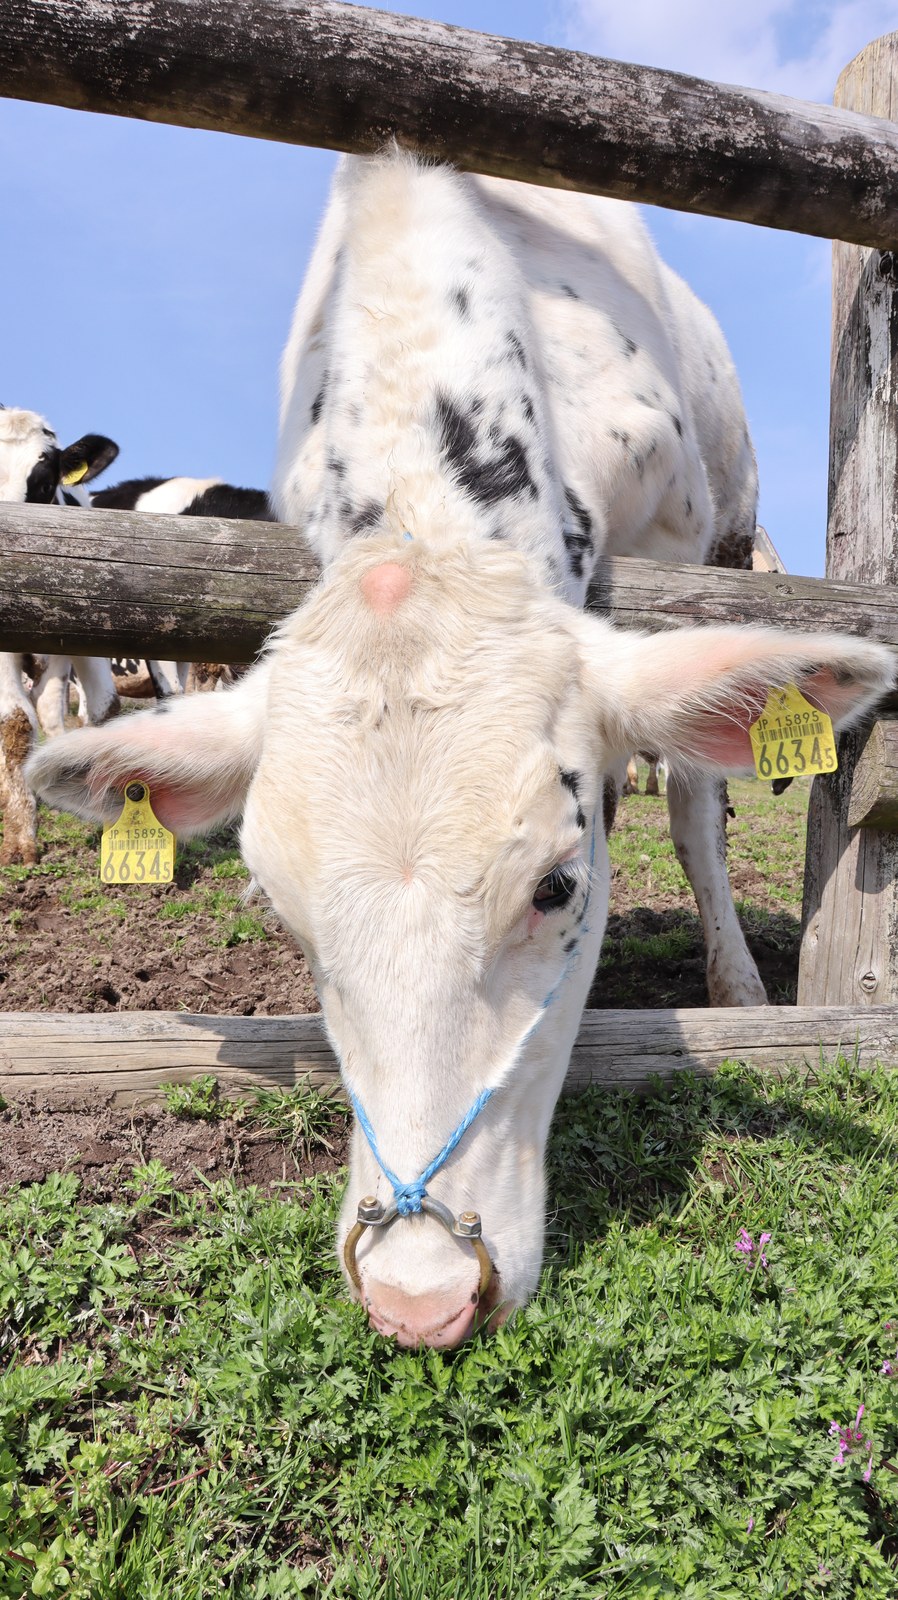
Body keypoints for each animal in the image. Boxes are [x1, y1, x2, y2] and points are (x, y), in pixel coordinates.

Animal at [28, 152, 894, 1347]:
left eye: (555, 887)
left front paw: (733, 991)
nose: (419, 1296)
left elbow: (685, 800)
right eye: (284, 910)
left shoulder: (677, 545)